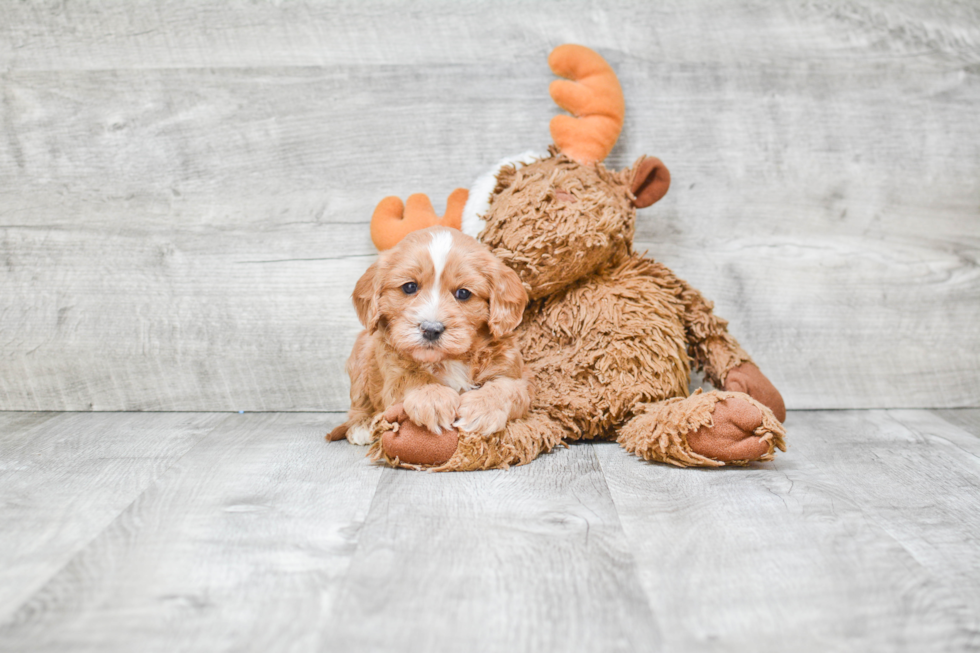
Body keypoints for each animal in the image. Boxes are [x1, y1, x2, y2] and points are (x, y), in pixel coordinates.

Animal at [328, 224, 528, 444]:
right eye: (409, 287)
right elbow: (412, 377)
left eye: (463, 293)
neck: (449, 359)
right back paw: (361, 426)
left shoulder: (514, 374)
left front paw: (482, 408)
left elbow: (508, 388)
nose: (431, 329)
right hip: (361, 353)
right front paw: (433, 398)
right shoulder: (392, 373)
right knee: (359, 402)